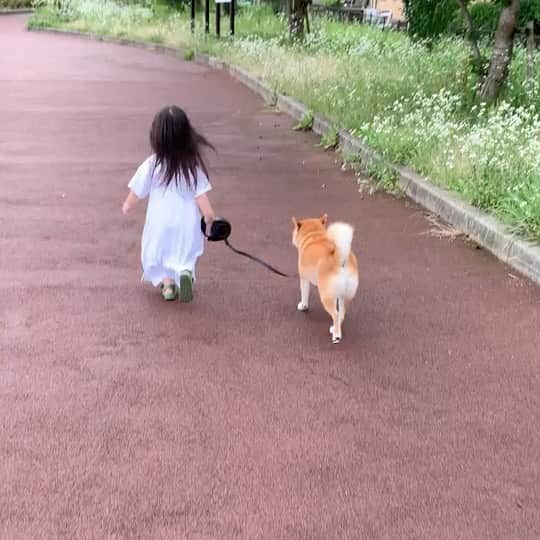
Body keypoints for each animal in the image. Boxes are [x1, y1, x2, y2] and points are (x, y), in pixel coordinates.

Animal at [292, 214, 358, 344]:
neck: (315, 236)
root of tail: (341, 259)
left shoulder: (304, 279)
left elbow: (304, 294)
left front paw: (303, 306)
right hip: (345, 295)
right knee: (341, 313)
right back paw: (335, 328)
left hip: (325, 296)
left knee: (336, 314)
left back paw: (336, 336)